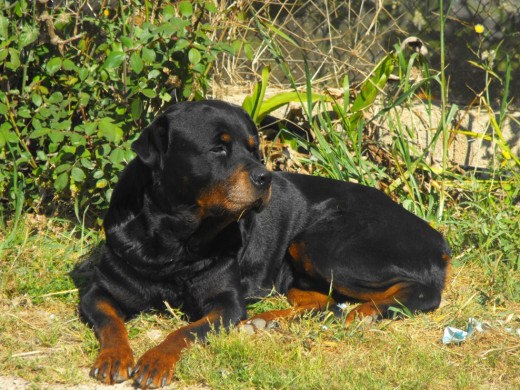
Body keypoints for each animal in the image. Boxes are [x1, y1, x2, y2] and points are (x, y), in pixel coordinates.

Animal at [81, 100, 450, 386]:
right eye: (218, 148)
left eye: (253, 148)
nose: (265, 176)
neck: (175, 239)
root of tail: (436, 236)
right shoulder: (100, 289)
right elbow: (110, 320)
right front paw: (114, 358)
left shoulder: (226, 304)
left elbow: (184, 332)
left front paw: (156, 360)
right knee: (324, 302)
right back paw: (267, 320)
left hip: (323, 244)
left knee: (421, 292)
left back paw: (365, 313)